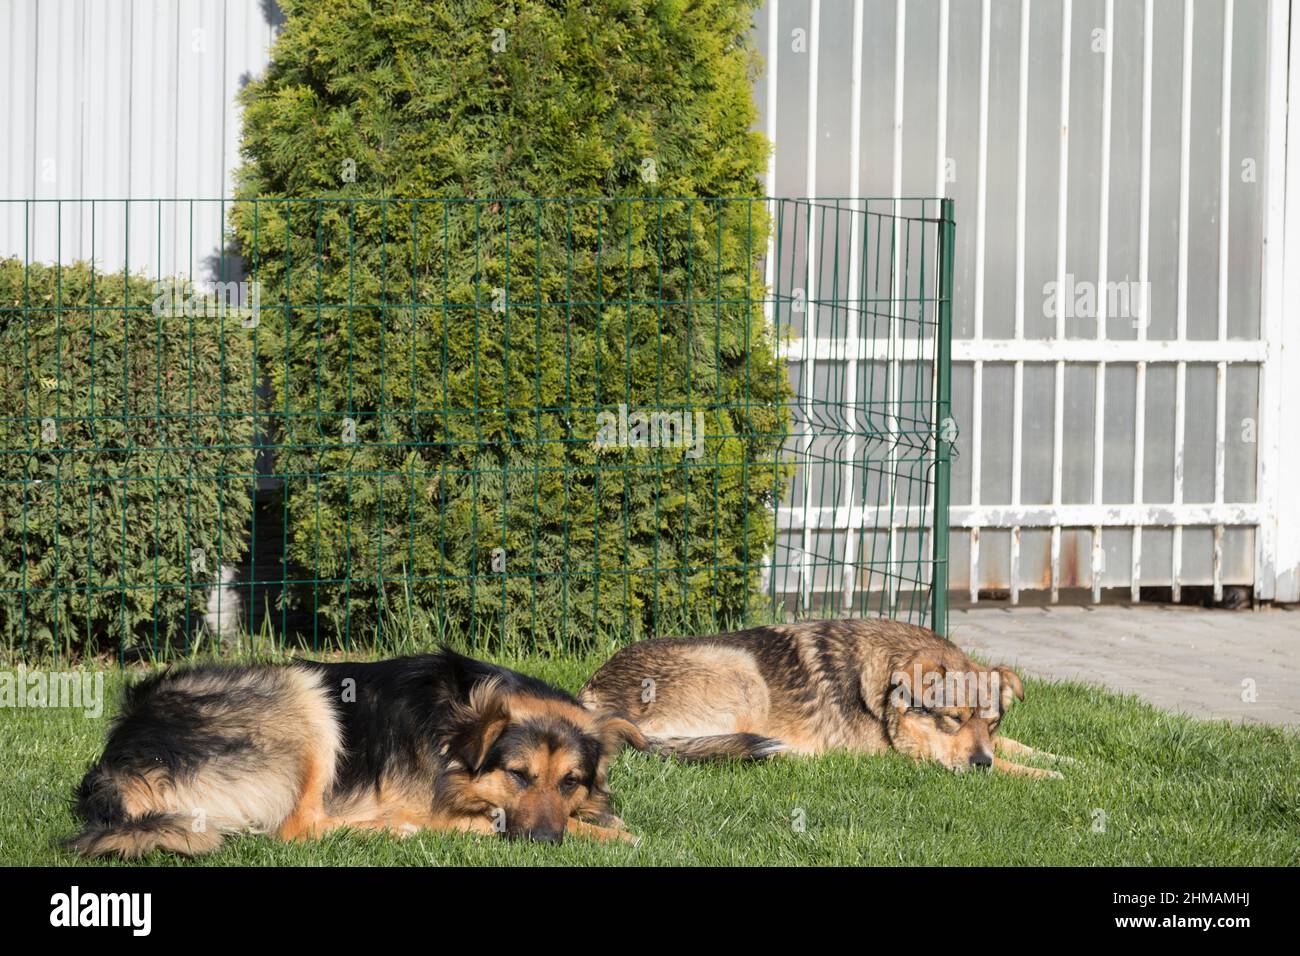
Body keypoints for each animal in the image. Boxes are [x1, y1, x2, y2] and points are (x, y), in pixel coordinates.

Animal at [65, 650, 644, 858]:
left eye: (570, 782)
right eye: (518, 775)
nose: (546, 843)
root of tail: (117, 759)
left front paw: (601, 819)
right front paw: (611, 835)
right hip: (304, 697)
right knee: (297, 828)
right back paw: (394, 830)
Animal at [579, 621, 1066, 780]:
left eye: (993, 723)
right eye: (951, 720)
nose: (980, 762)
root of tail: (590, 697)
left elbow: (1021, 748)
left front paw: (1066, 760)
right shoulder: (913, 757)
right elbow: (1011, 765)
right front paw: (1044, 775)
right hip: (741, 672)